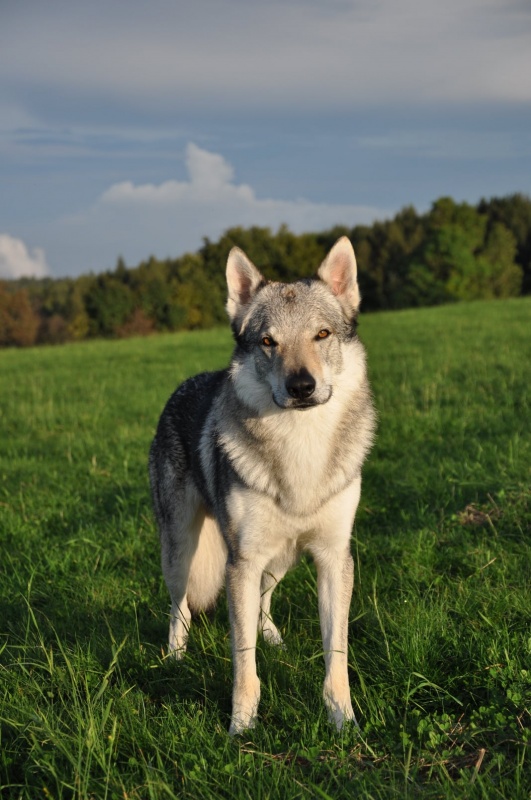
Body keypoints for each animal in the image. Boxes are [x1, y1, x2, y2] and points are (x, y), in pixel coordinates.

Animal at [148, 239, 376, 736]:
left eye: (322, 335)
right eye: (269, 342)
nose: (302, 386)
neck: (301, 449)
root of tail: (185, 383)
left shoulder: (334, 557)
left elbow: (336, 654)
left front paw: (343, 720)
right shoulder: (242, 561)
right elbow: (242, 660)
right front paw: (241, 726)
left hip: (279, 557)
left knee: (264, 601)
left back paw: (271, 635)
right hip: (182, 550)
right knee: (180, 607)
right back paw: (175, 657)